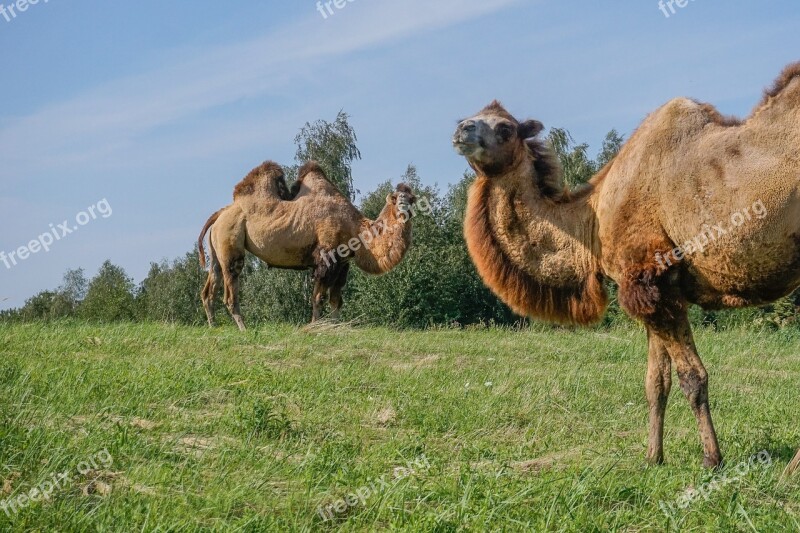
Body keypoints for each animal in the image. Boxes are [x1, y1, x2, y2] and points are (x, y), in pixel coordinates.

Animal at [198, 160, 416, 330]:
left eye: (411, 198)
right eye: (397, 199)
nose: (404, 206)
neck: (355, 227)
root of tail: (220, 213)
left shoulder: (343, 263)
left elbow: (336, 300)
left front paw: (337, 327)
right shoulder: (326, 257)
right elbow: (318, 297)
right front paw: (315, 326)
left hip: (217, 249)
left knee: (209, 288)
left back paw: (213, 326)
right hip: (231, 243)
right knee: (230, 290)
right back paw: (243, 328)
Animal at [450, 62, 800, 468]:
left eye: (505, 128)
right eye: (468, 117)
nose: (462, 129)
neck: (592, 222)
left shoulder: (649, 277)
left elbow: (692, 378)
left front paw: (712, 459)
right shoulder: (654, 289)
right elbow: (656, 382)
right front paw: (653, 457)